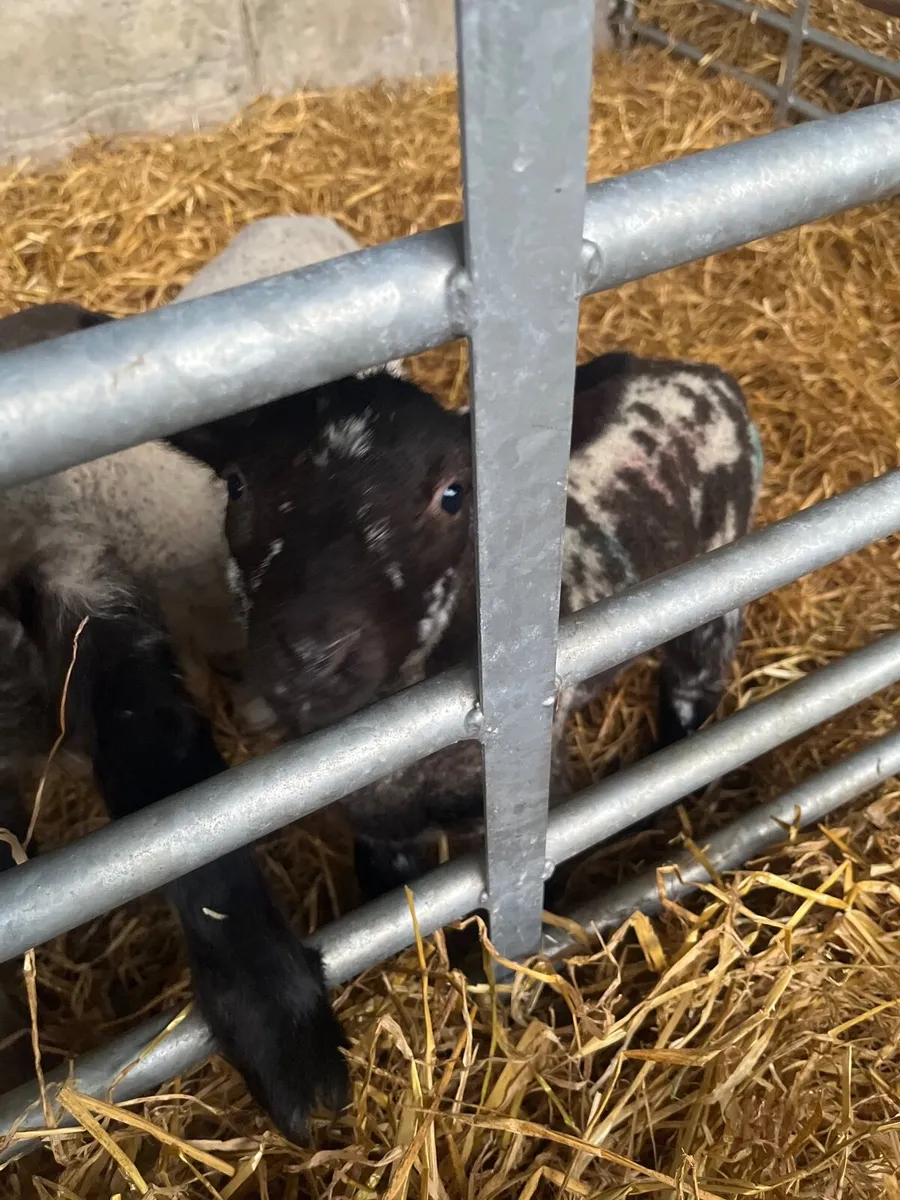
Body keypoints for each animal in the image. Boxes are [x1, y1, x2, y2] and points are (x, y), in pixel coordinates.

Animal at [168, 348, 764, 900]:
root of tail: (703, 374)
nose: (313, 655)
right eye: (237, 485)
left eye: (453, 495)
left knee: (692, 692)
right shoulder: (381, 838)